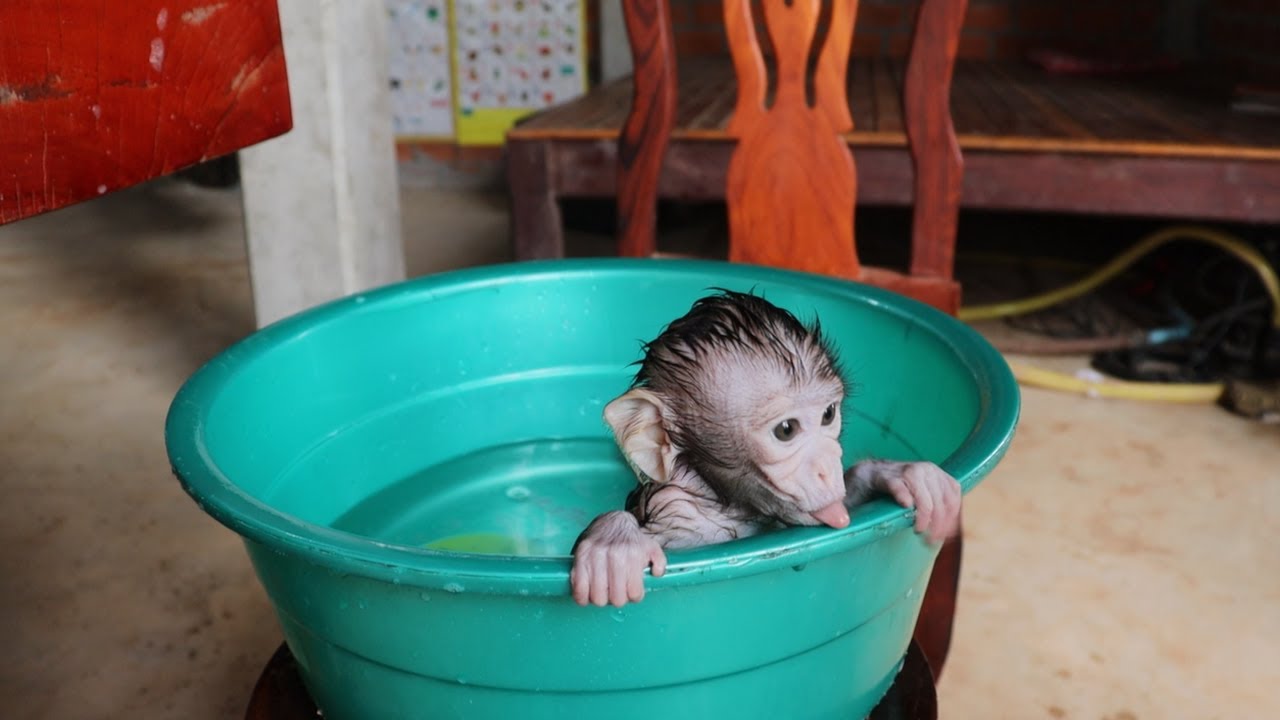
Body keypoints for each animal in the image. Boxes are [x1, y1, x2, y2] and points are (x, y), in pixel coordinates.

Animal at [570, 290, 962, 608]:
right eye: (786, 430)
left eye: (828, 414)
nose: (827, 468)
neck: (721, 504)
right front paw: (615, 542)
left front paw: (902, 475)